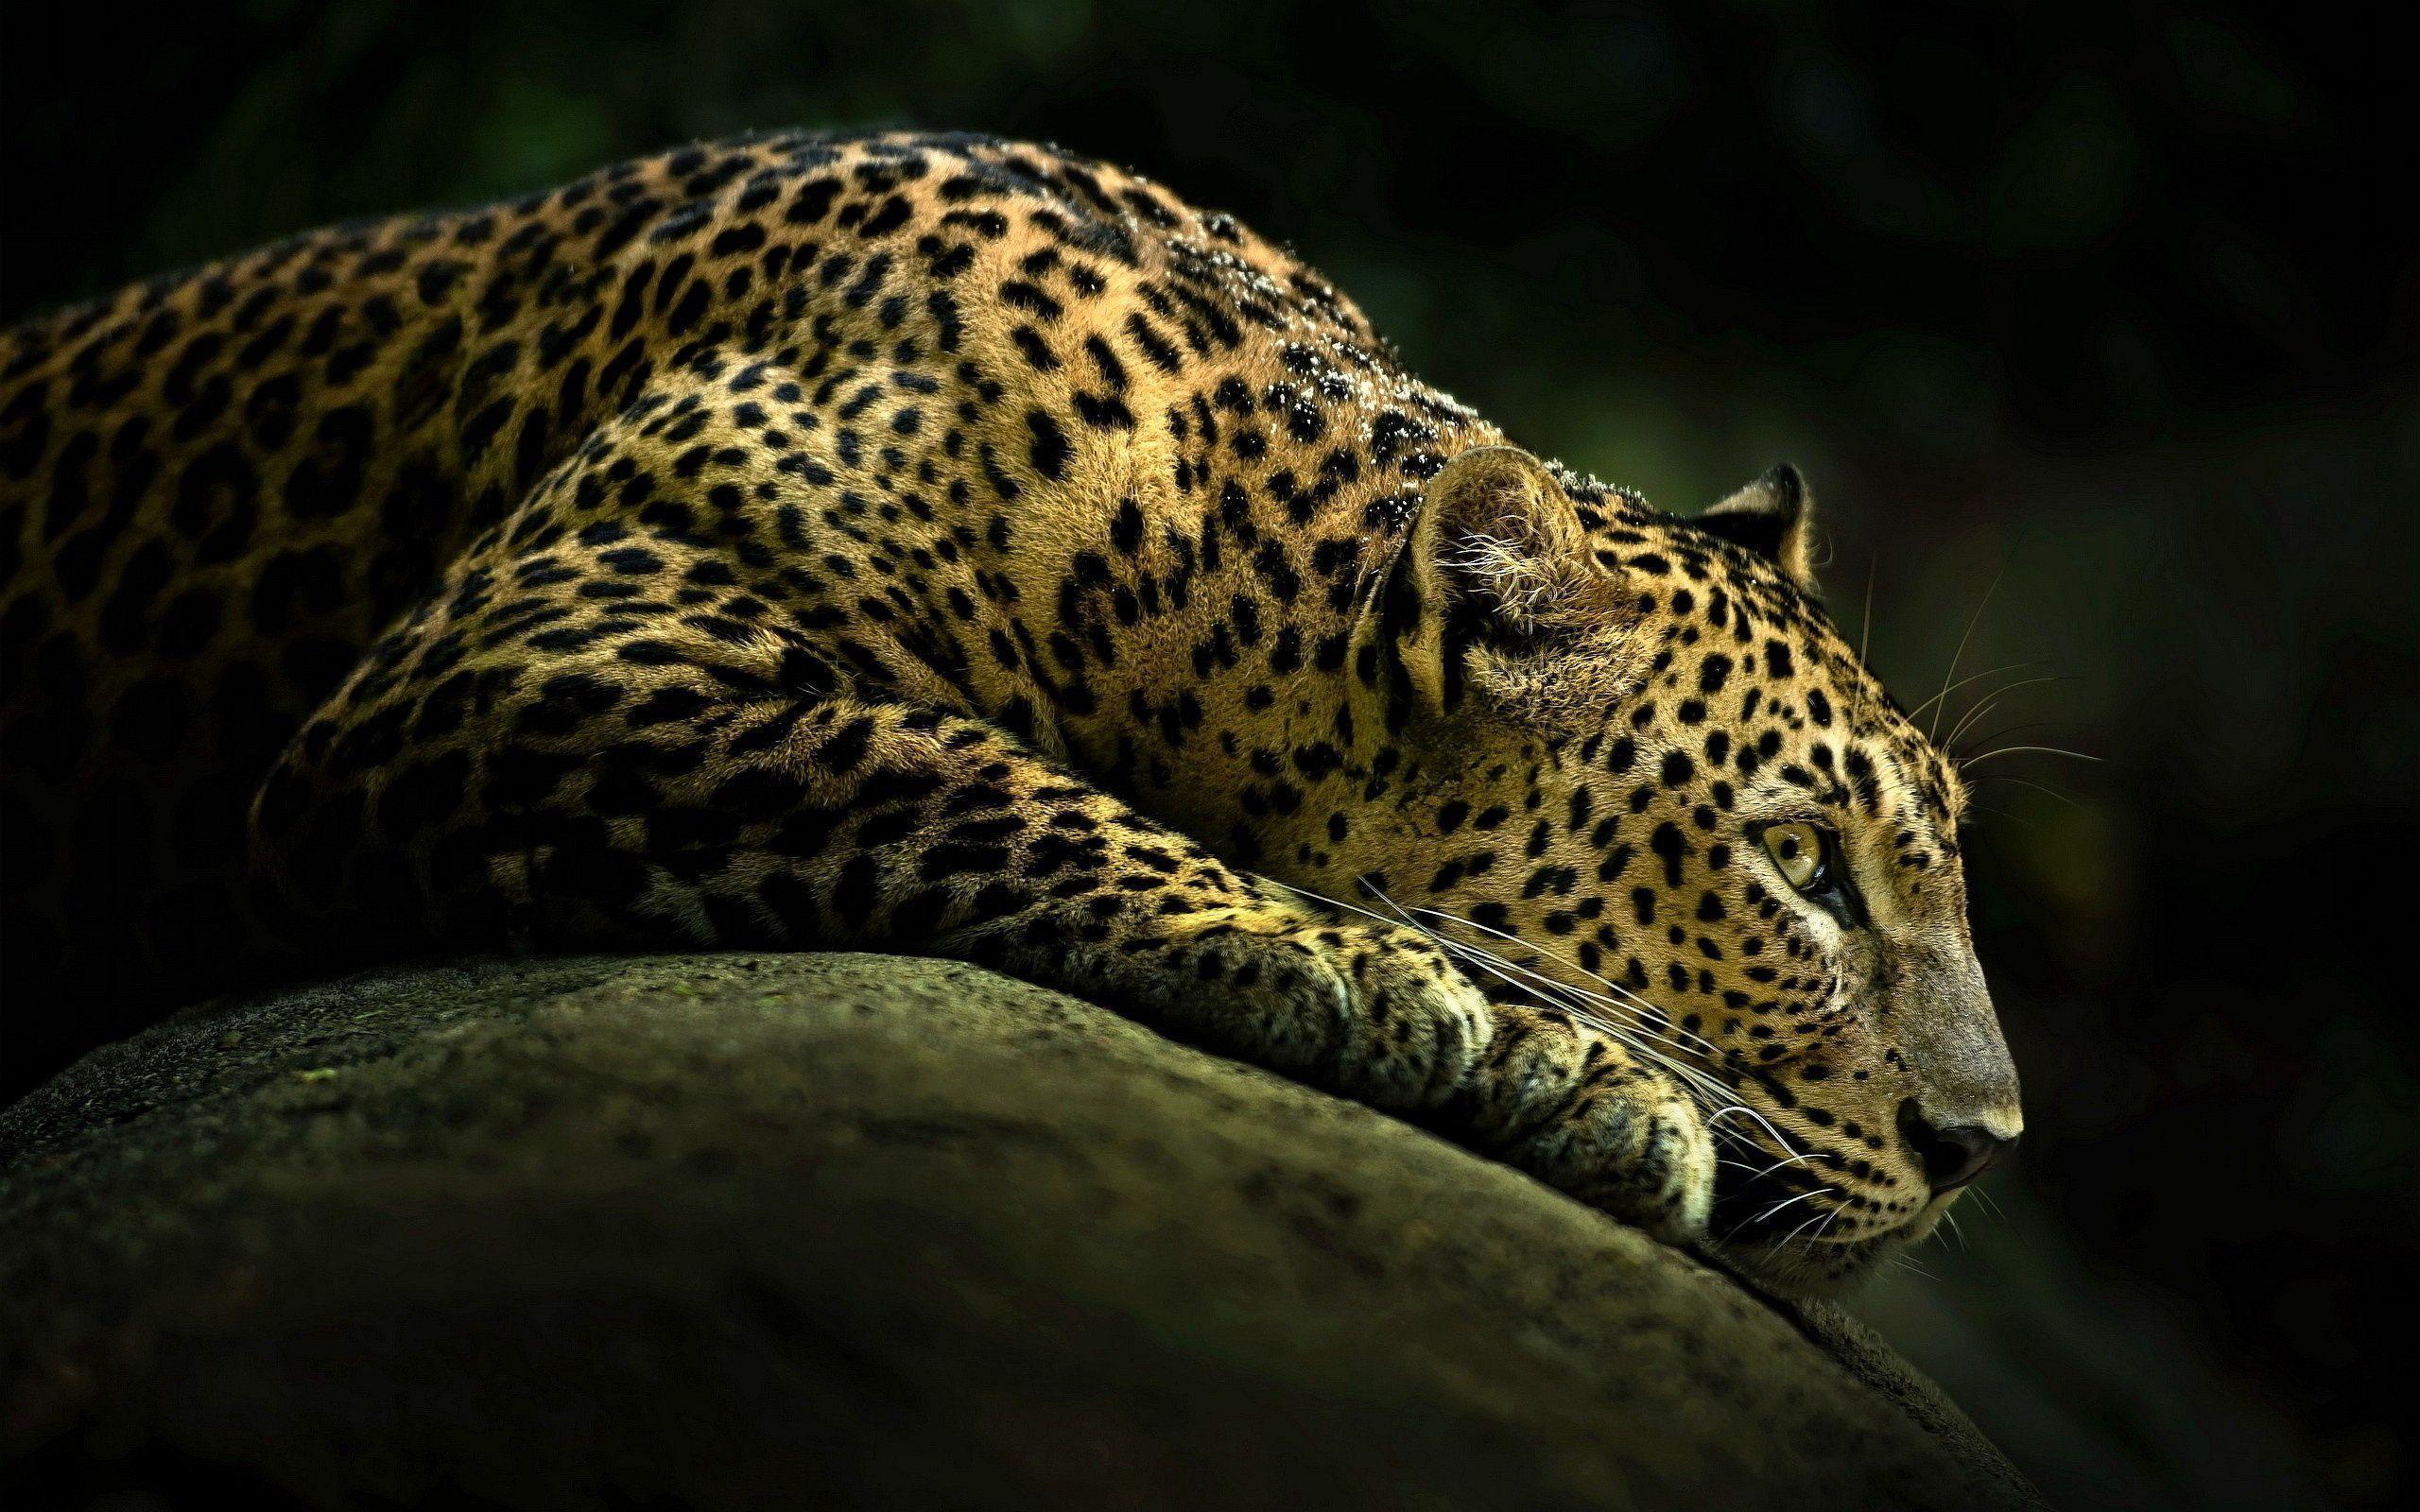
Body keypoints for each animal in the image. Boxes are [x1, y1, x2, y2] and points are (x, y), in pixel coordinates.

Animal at [0, 129, 2021, 1294]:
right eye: (1802, 869)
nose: (1983, 1150)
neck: (1199, 554)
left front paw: (1562, 1066)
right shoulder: (549, 642)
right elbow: (950, 764)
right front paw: (1409, 991)